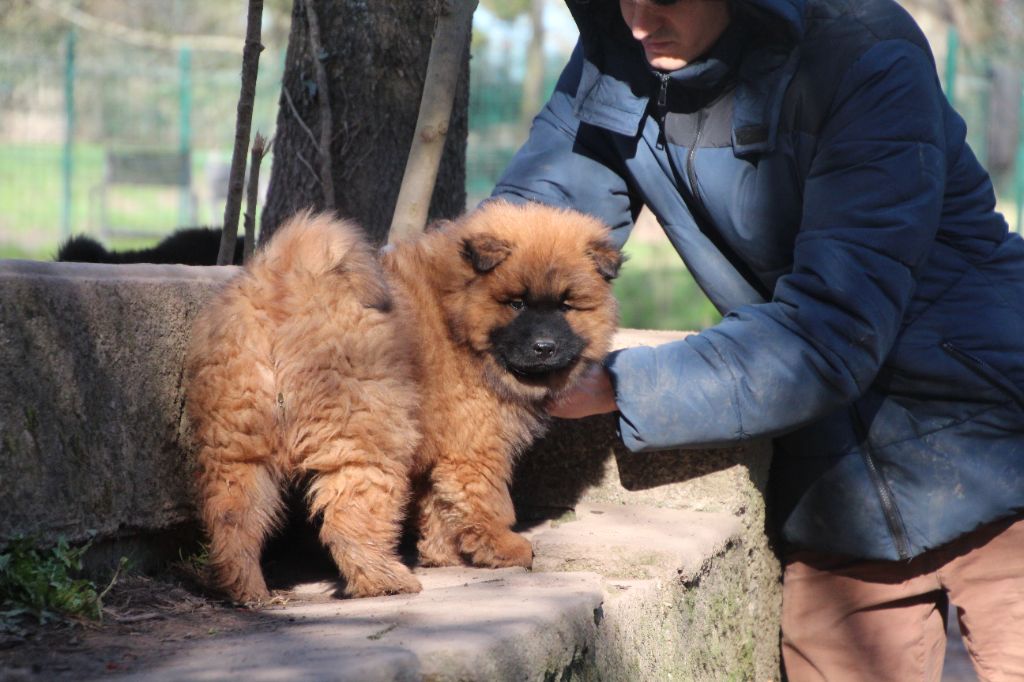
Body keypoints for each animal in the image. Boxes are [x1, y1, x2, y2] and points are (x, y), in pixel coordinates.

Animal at [183, 200, 614, 602]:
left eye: (566, 305)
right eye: (517, 303)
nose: (545, 347)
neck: (456, 314)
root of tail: (287, 283)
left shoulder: (443, 451)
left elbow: (440, 506)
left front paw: (444, 555)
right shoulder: (476, 448)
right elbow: (487, 502)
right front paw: (506, 548)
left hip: (239, 441)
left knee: (234, 517)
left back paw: (245, 590)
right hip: (368, 433)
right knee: (350, 515)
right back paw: (385, 581)